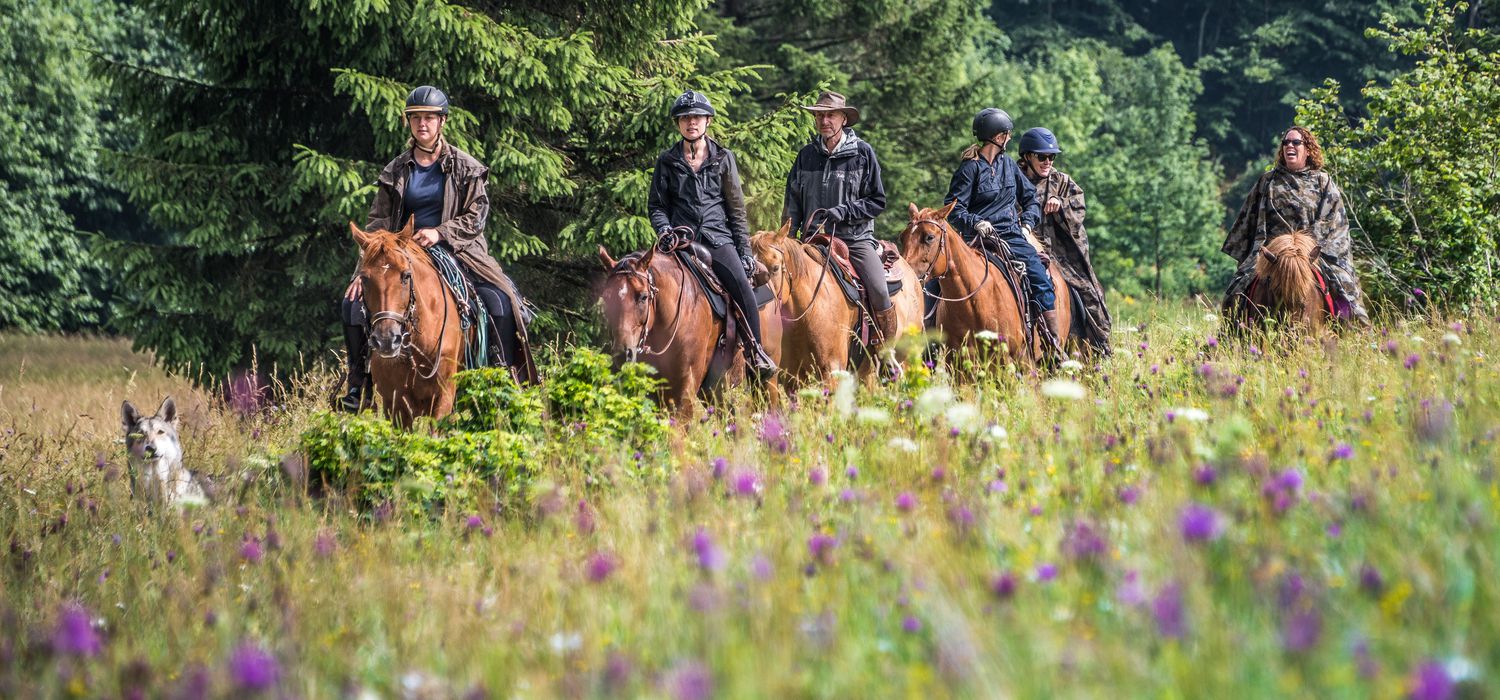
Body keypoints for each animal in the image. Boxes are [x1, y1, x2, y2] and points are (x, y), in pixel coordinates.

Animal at [597, 238, 786, 413]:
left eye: (643, 297)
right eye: (606, 298)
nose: (623, 354)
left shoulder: (684, 391)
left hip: (766, 381)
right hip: (712, 391)